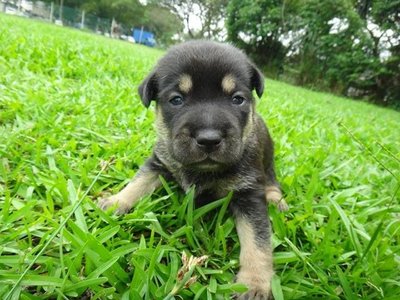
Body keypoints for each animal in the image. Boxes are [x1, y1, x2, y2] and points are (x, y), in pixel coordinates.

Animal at [99, 40, 288, 300]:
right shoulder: (159, 162)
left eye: (237, 99)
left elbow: (257, 241)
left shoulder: (248, 194)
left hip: (268, 161)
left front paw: (254, 283)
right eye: (177, 100)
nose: (209, 139)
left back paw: (277, 201)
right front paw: (117, 201)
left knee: (272, 182)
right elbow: (138, 181)